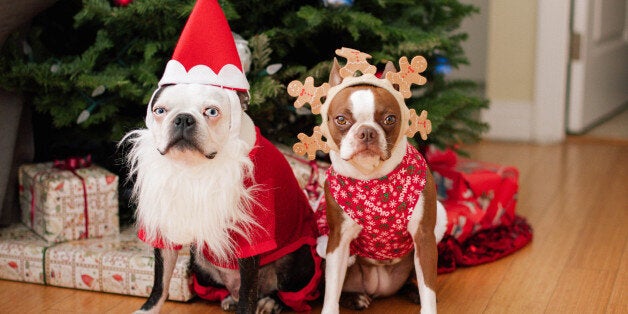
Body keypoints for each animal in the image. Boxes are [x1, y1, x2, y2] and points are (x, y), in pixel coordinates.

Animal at [122, 84, 322, 314]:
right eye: (160, 111)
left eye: (211, 111)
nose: (183, 118)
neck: (195, 168)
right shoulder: (165, 223)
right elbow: (160, 281)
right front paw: (148, 309)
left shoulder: (251, 235)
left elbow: (247, 293)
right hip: (198, 263)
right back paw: (229, 297)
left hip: (300, 261)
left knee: (277, 291)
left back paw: (270, 301)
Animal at [316, 58, 448, 312]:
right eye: (341, 119)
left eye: (390, 119)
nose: (367, 132)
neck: (374, 181)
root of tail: (379, 289)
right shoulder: (338, 241)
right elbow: (331, 291)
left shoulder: (424, 238)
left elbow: (428, 288)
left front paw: (426, 303)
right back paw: (356, 298)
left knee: (415, 281)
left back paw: (412, 291)